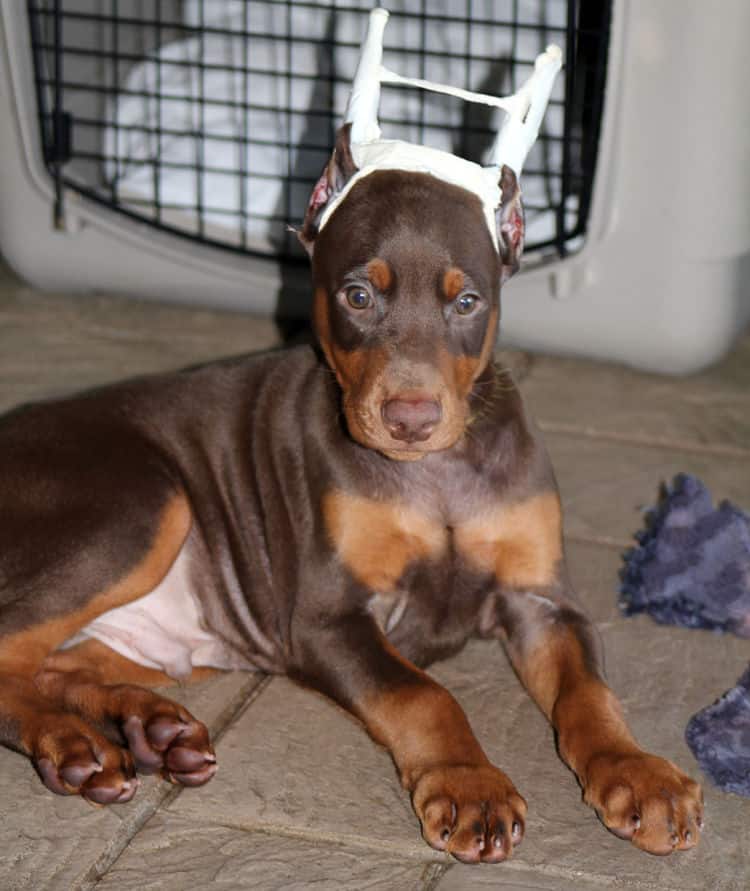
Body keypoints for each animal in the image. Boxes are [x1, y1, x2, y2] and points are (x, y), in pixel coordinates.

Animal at [0, 127, 704, 864]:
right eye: (358, 296)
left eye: (467, 302)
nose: (411, 418)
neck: (434, 472)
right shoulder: (327, 616)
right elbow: (423, 693)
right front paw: (470, 784)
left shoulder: (541, 599)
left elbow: (589, 691)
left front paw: (637, 772)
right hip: (143, 506)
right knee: (10, 651)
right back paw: (74, 746)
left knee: (52, 665)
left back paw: (150, 728)